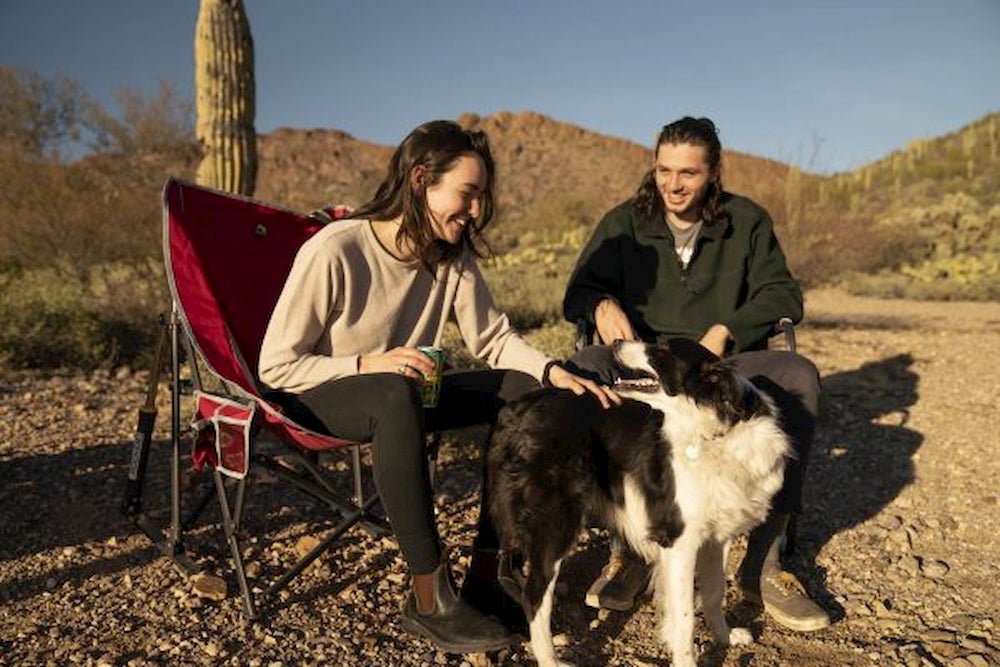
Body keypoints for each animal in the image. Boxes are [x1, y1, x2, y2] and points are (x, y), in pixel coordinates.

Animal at [488, 340, 792, 667]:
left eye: (661, 351)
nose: (616, 342)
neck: (712, 433)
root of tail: (514, 410)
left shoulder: (717, 537)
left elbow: (714, 591)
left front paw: (724, 637)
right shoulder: (680, 540)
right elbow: (685, 616)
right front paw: (686, 658)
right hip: (555, 526)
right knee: (534, 595)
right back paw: (550, 660)